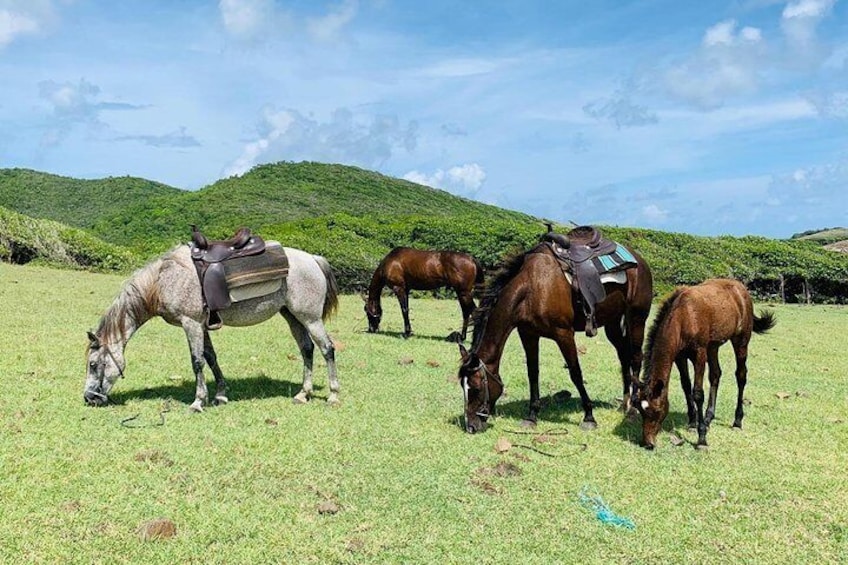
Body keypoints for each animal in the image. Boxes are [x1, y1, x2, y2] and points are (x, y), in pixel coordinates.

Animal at [83, 242, 342, 410]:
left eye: (93, 364)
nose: (88, 398)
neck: (164, 280)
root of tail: (313, 259)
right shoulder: (202, 326)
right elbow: (211, 358)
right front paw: (220, 395)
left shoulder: (191, 323)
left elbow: (197, 361)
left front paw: (198, 401)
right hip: (293, 316)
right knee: (307, 349)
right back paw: (303, 394)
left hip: (310, 318)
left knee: (327, 349)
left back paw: (333, 395)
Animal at [458, 241, 648, 432]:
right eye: (462, 386)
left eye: (475, 388)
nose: (471, 426)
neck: (533, 287)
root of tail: (639, 259)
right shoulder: (528, 334)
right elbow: (533, 373)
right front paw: (532, 416)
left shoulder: (564, 334)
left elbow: (575, 373)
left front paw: (589, 417)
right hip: (612, 323)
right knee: (624, 356)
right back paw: (624, 404)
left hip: (636, 319)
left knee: (636, 358)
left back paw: (633, 409)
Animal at [640, 278, 780, 450]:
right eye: (640, 410)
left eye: (657, 411)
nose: (648, 443)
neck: (684, 316)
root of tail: (741, 288)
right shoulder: (680, 357)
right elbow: (686, 386)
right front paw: (693, 422)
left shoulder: (699, 355)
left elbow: (698, 393)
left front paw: (701, 439)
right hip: (713, 347)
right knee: (715, 375)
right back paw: (708, 418)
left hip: (741, 341)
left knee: (741, 375)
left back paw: (737, 421)